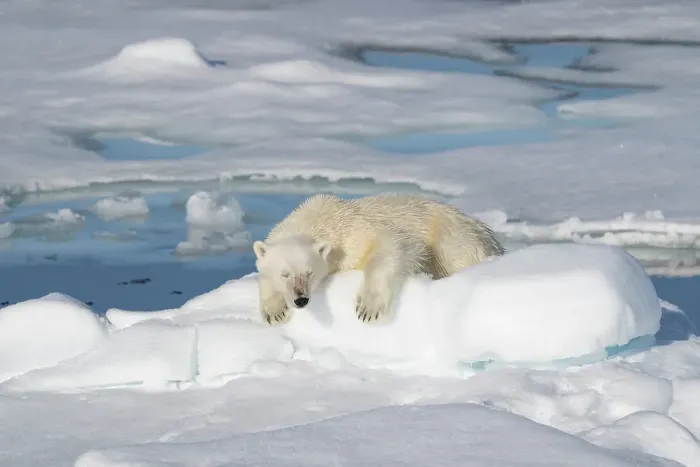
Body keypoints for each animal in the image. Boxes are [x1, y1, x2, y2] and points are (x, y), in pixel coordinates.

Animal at [252, 193, 505, 325]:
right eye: (284, 274)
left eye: (309, 272)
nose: (301, 299)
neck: (322, 217)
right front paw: (274, 311)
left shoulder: (355, 233)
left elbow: (390, 246)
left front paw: (368, 307)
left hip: (454, 235)